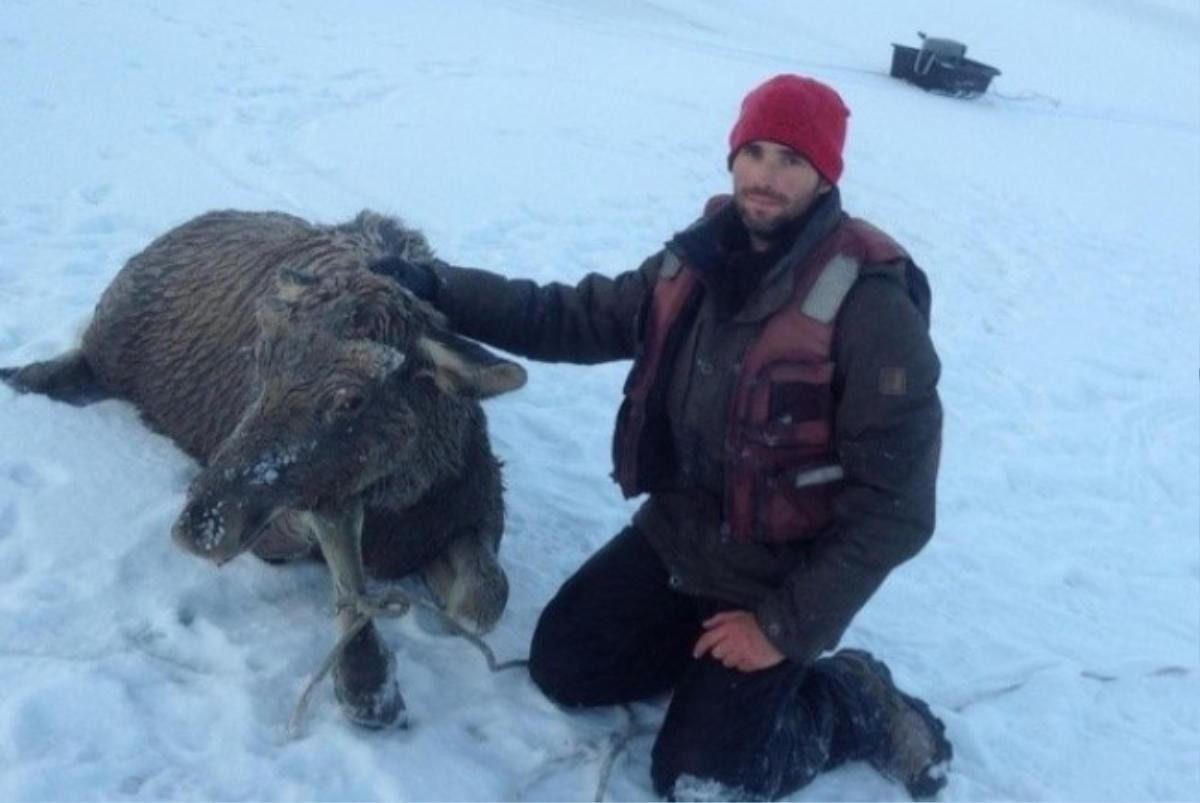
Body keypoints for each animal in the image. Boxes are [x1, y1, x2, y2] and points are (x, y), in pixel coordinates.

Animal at [1, 210, 525, 729]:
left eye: (351, 398)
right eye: (261, 364)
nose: (200, 526)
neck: (405, 502)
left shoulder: (477, 512)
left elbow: (484, 598)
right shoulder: (297, 521)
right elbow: (340, 561)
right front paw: (366, 680)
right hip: (106, 348)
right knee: (71, 365)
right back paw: (21, 375)